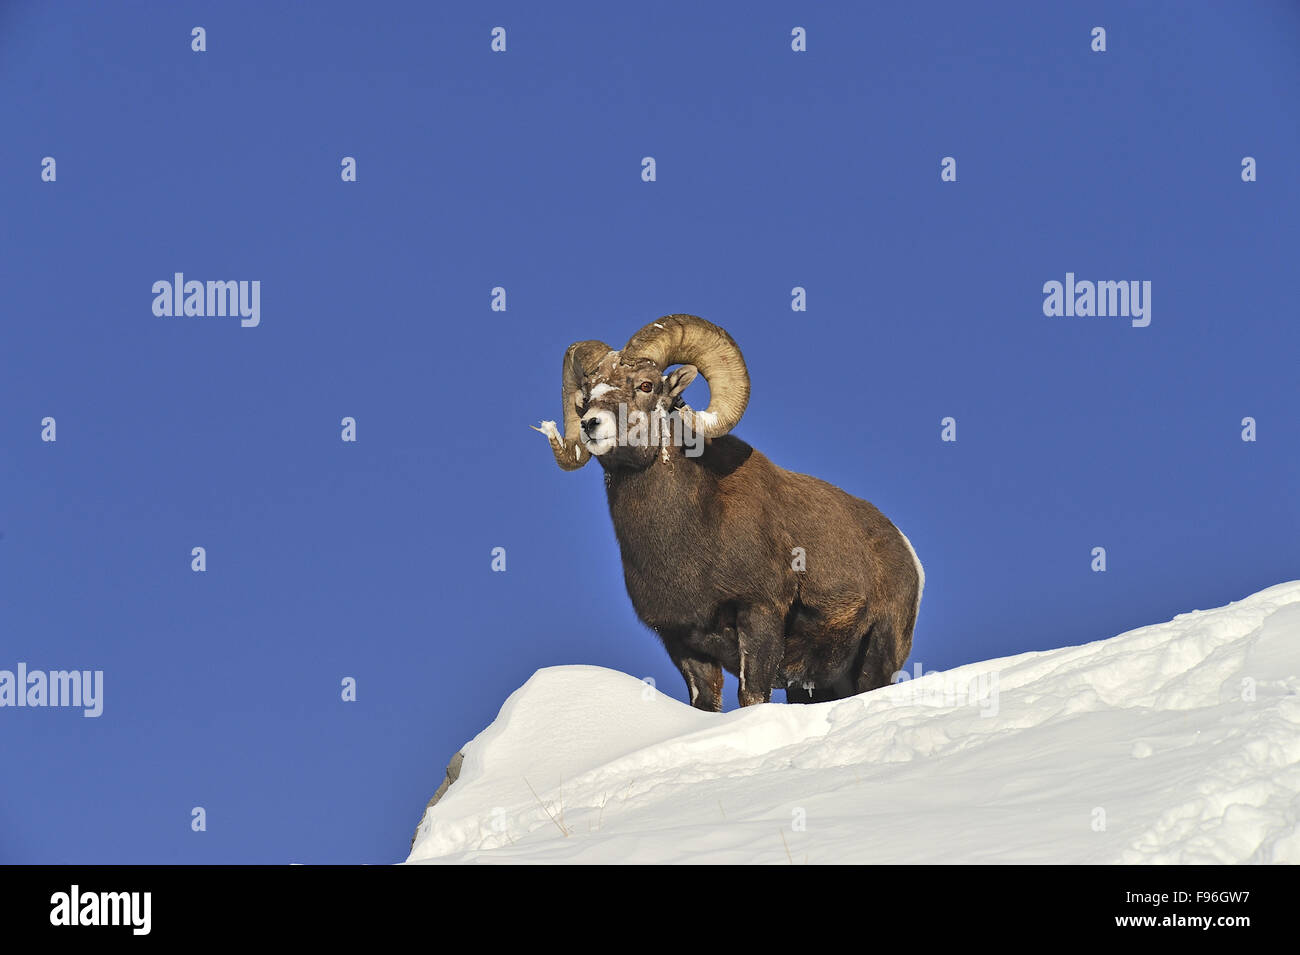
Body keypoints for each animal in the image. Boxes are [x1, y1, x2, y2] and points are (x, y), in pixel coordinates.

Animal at [534, 314, 923, 709]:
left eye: (646, 385)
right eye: (586, 394)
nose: (590, 424)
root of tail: (904, 549)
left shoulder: (759, 615)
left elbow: (752, 695)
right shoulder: (682, 643)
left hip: (876, 658)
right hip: (811, 686)